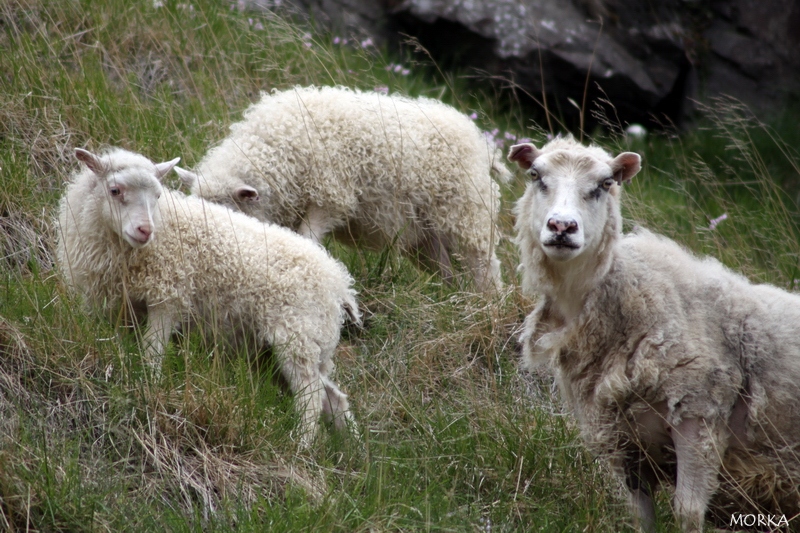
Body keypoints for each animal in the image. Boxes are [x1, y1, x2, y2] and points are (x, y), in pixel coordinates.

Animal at [59, 145, 362, 444]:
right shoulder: (118, 310)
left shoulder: (169, 297)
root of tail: (339, 283)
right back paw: (352, 446)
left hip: (298, 337)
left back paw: (299, 444)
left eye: (157, 195)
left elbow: (152, 354)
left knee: (310, 398)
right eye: (115, 190)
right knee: (333, 398)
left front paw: (149, 386)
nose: (145, 230)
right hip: (297, 348)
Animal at [175, 85, 512, 294]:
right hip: (426, 235)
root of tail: (482, 143)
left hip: (467, 213)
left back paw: (488, 304)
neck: (277, 149)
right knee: (447, 270)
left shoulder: (330, 197)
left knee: (484, 265)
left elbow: (308, 235)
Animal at [510, 136, 796, 532]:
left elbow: (688, 512)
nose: (562, 227)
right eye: (536, 176)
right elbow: (639, 514)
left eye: (605, 184)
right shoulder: (620, 434)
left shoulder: (699, 415)